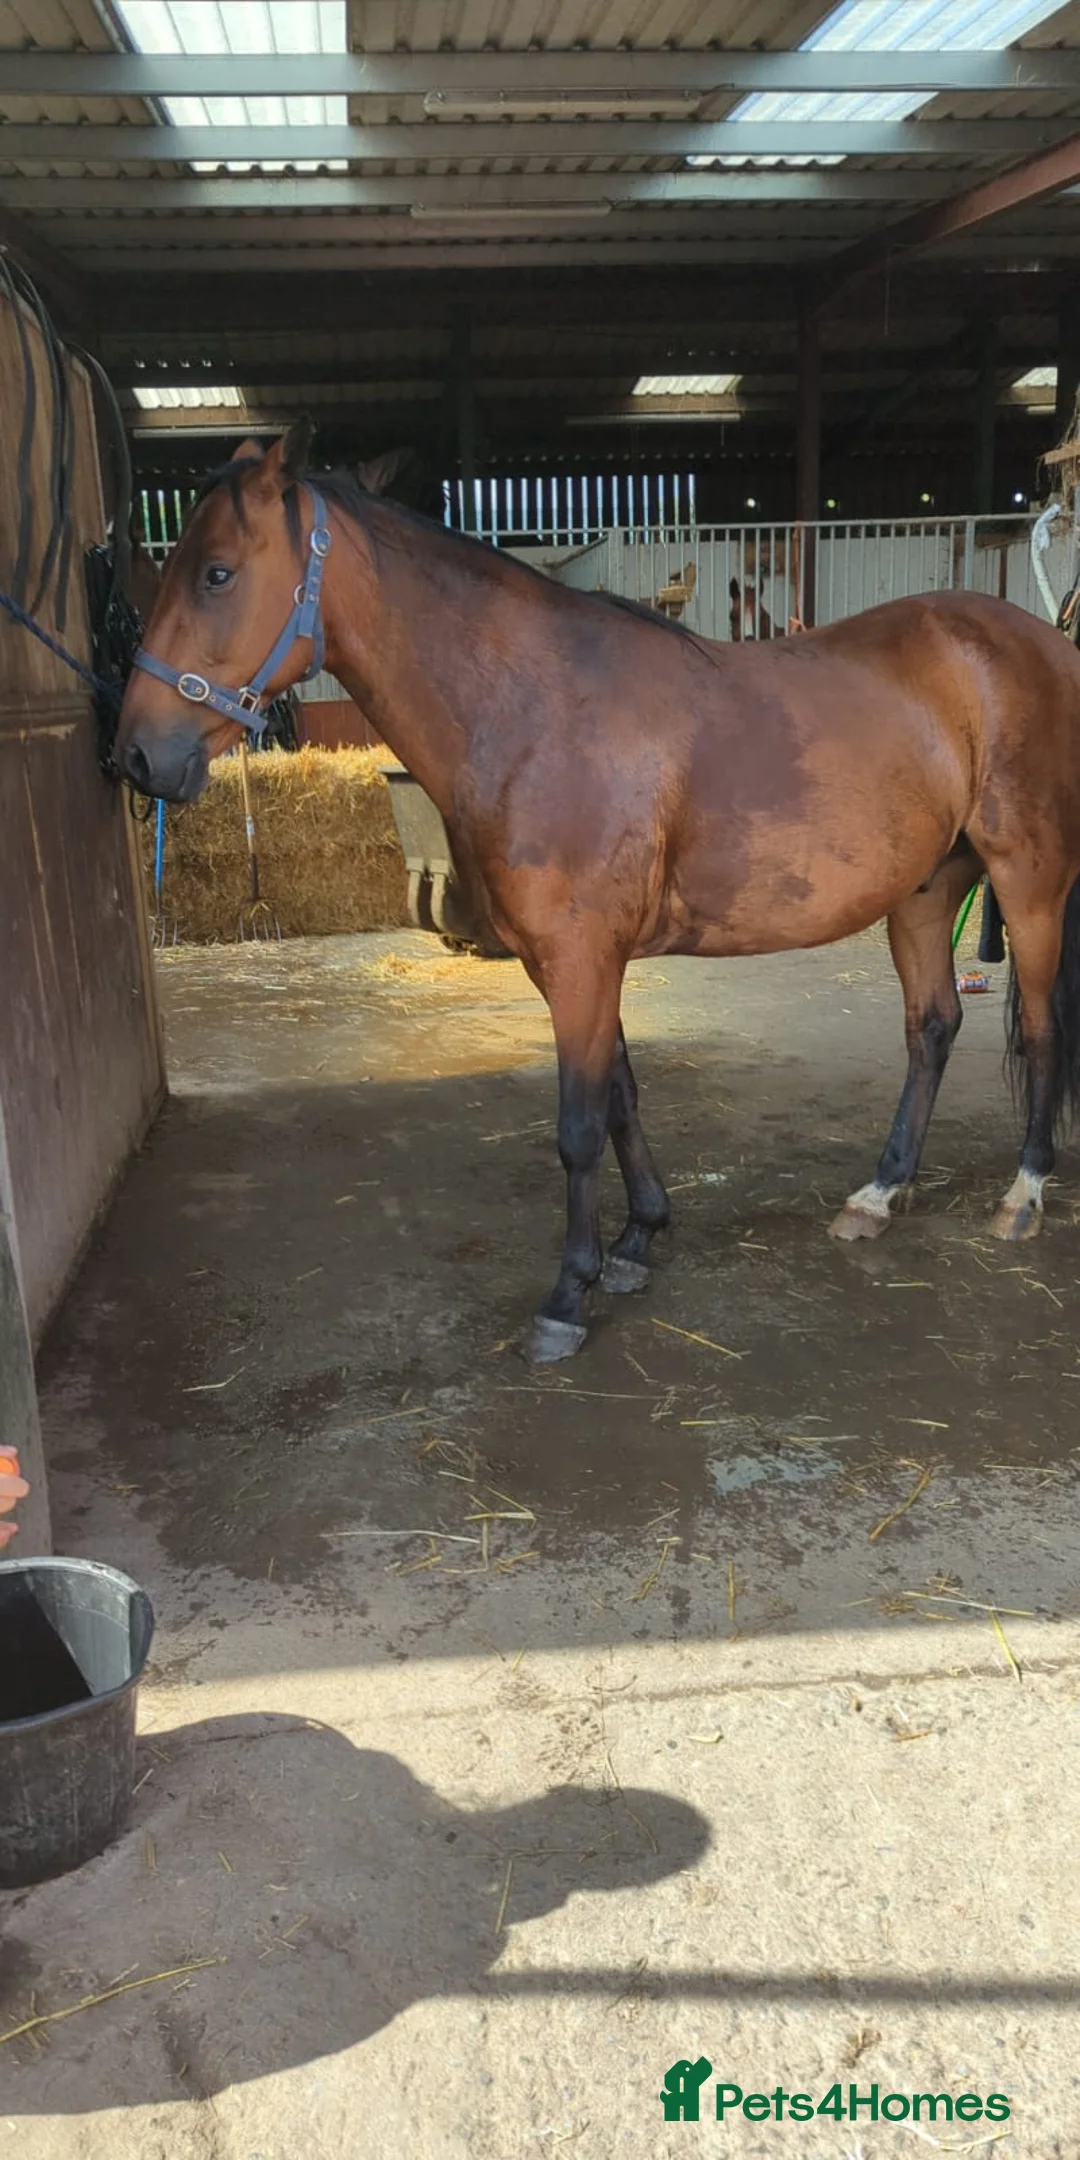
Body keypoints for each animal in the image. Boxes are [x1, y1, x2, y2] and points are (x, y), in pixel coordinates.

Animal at [114, 423, 1080, 1364]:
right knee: (932, 1029)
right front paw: (637, 1240)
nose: (136, 755)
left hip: (1030, 882)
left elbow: (578, 1125)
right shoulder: (573, 962)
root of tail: (1042, 643)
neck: (535, 711)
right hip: (924, 889)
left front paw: (567, 1295)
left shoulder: (581, 957)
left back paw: (1024, 1193)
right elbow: (620, 1094)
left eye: (216, 573)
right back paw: (880, 1193)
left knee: (1040, 1026)